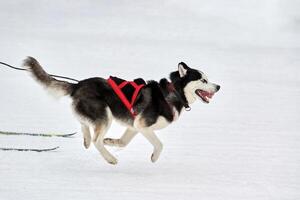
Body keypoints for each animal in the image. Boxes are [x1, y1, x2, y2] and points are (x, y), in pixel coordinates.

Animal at [24, 57, 220, 165]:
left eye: (207, 79)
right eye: (203, 80)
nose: (218, 86)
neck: (173, 93)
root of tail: (78, 85)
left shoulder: (134, 126)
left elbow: (123, 143)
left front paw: (112, 141)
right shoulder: (143, 126)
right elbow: (159, 144)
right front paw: (154, 157)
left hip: (94, 114)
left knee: (84, 124)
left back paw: (87, 139)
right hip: (105, 115)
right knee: (96, 140)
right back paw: (110, 158)